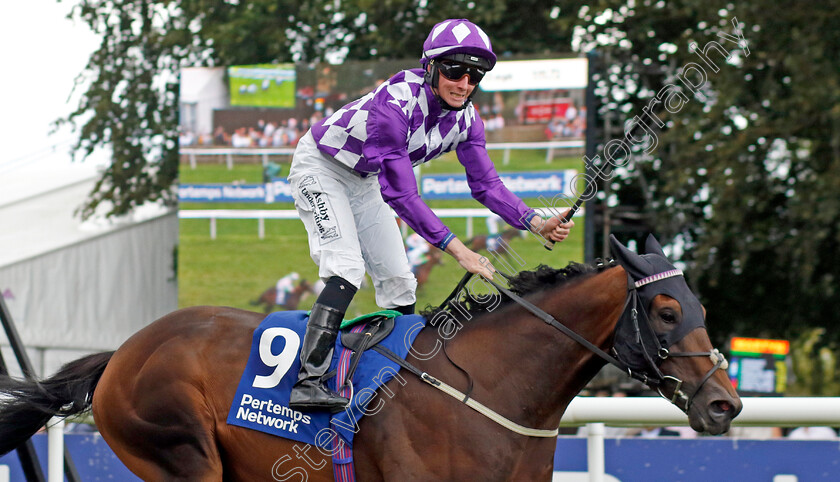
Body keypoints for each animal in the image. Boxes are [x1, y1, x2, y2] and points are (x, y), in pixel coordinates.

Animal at [0, 233, 740, 478]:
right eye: (667, 312)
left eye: (702, 309)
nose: (724, 404)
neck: (490, 388)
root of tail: (123, 352)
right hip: (178, 453)